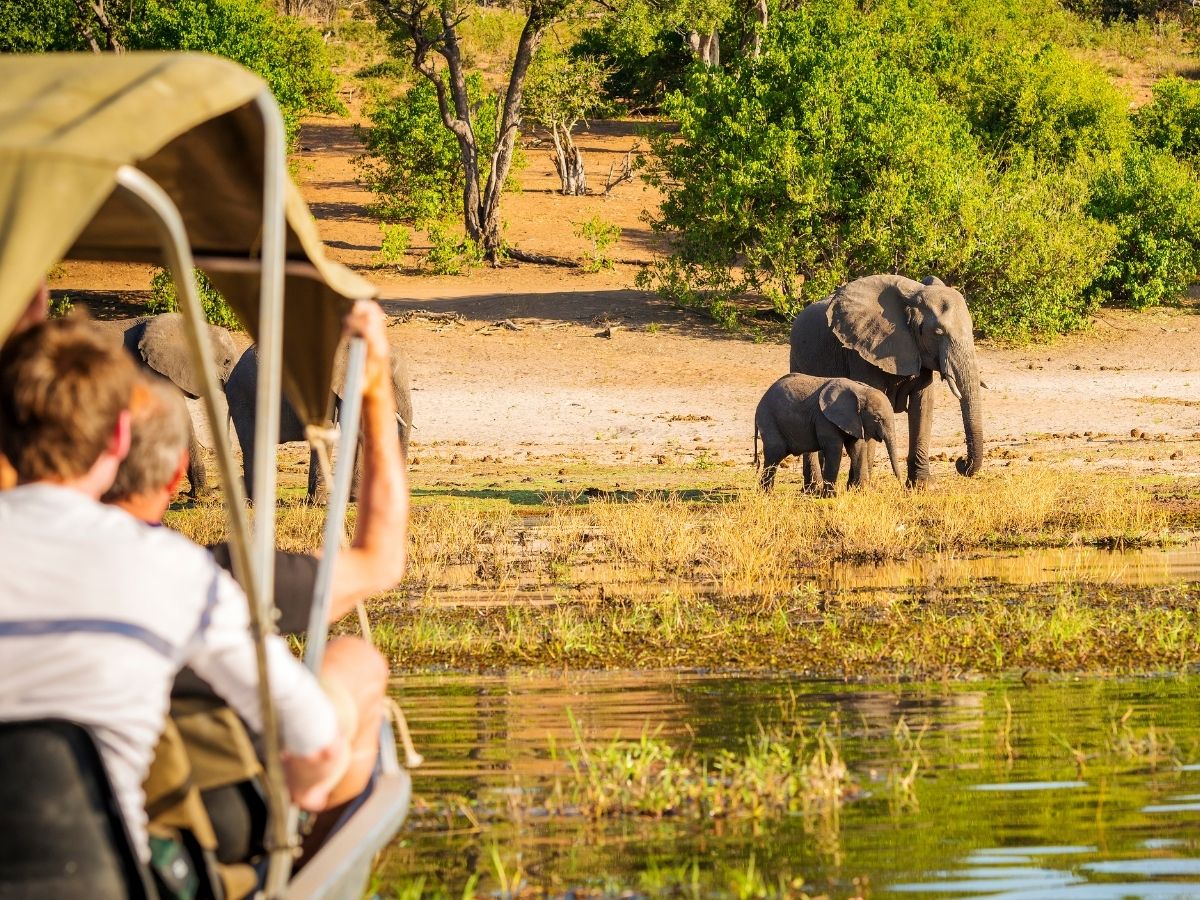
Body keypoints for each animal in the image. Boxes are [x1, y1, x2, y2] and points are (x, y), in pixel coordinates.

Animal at [753, 374, 903, 493]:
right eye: (877, 418)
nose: (901, 488)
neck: (860, 391)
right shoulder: (824, 419)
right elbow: (834, 450)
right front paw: (830, 496)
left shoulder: (855, 420)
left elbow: (857, 449)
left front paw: (862, 493)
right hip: (769, 419)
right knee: (775, 454)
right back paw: (766, 494)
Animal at [789, 274, 983, 487]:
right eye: (938, 333)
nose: (961, 462)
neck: (912, 296)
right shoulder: (861, 351)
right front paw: (861, 488)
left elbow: (922, 406)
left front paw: (923, 487)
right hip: (796, 358)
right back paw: (814, 488)